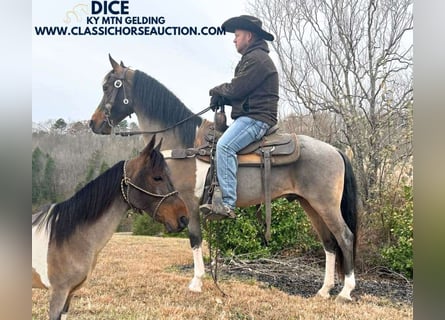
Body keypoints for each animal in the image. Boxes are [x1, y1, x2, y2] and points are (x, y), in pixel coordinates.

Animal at [89, 55, 358, 302]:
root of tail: (336, 150)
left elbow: (195, 239)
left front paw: (196, 283)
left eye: (108, 86)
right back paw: (323, 291)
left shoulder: (188, 203)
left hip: (325, 205)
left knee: (345, 237)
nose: (94, 123)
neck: (182, 145)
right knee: (329, 242)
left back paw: (345, 292)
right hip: (310, 205)